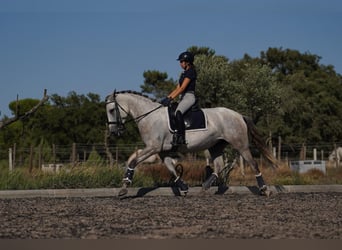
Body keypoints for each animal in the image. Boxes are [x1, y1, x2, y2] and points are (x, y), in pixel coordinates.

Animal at [105, 90, 276, 197]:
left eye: (112, 110)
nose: (113, 132)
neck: (150, 116)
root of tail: (238, 115)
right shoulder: (162, 151)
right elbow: (171, 169)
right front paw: (184, 188)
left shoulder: (153, 148)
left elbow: (133, 161)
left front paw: (124, 187)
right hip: (216, 145)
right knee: (219, 166)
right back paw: (204, 188)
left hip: (240, 145)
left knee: (253, 163)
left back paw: (264, 189)